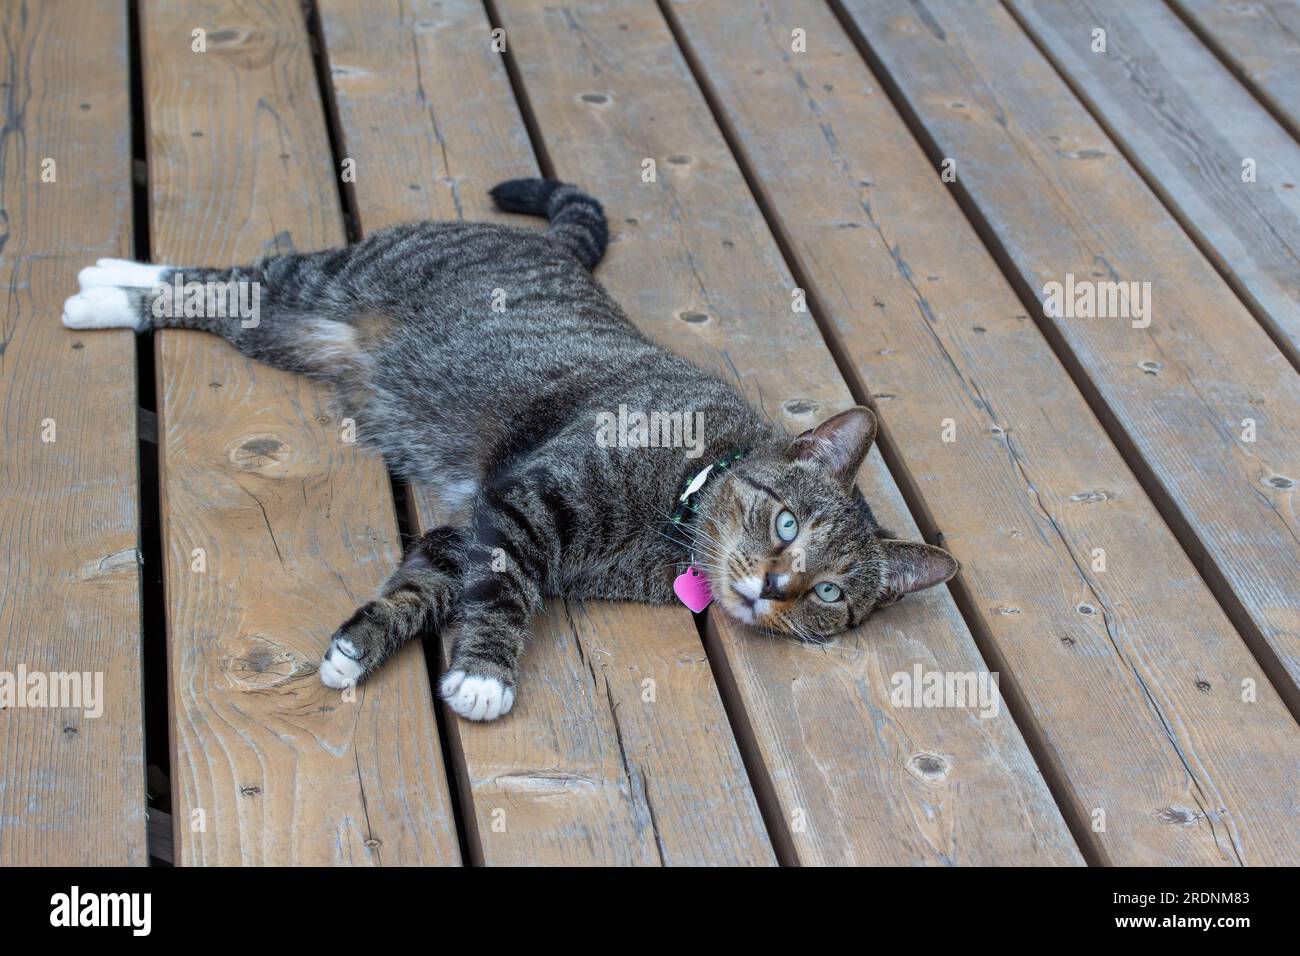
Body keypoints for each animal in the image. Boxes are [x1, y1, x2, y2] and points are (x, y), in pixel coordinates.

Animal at [63, 179, 956, 723]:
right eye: (785, 526)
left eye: (830, 594)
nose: (775, 586)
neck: (688, 494)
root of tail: (555, 248)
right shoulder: (527, 505)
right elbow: (503, 592)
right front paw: (485, 676)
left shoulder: (472, 524)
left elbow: (425, 583)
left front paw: (357, 650)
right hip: (333, 279)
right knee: (242, 271)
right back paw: (108, 275)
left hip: (291, 334)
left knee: (227, 299)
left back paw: (111, 293)